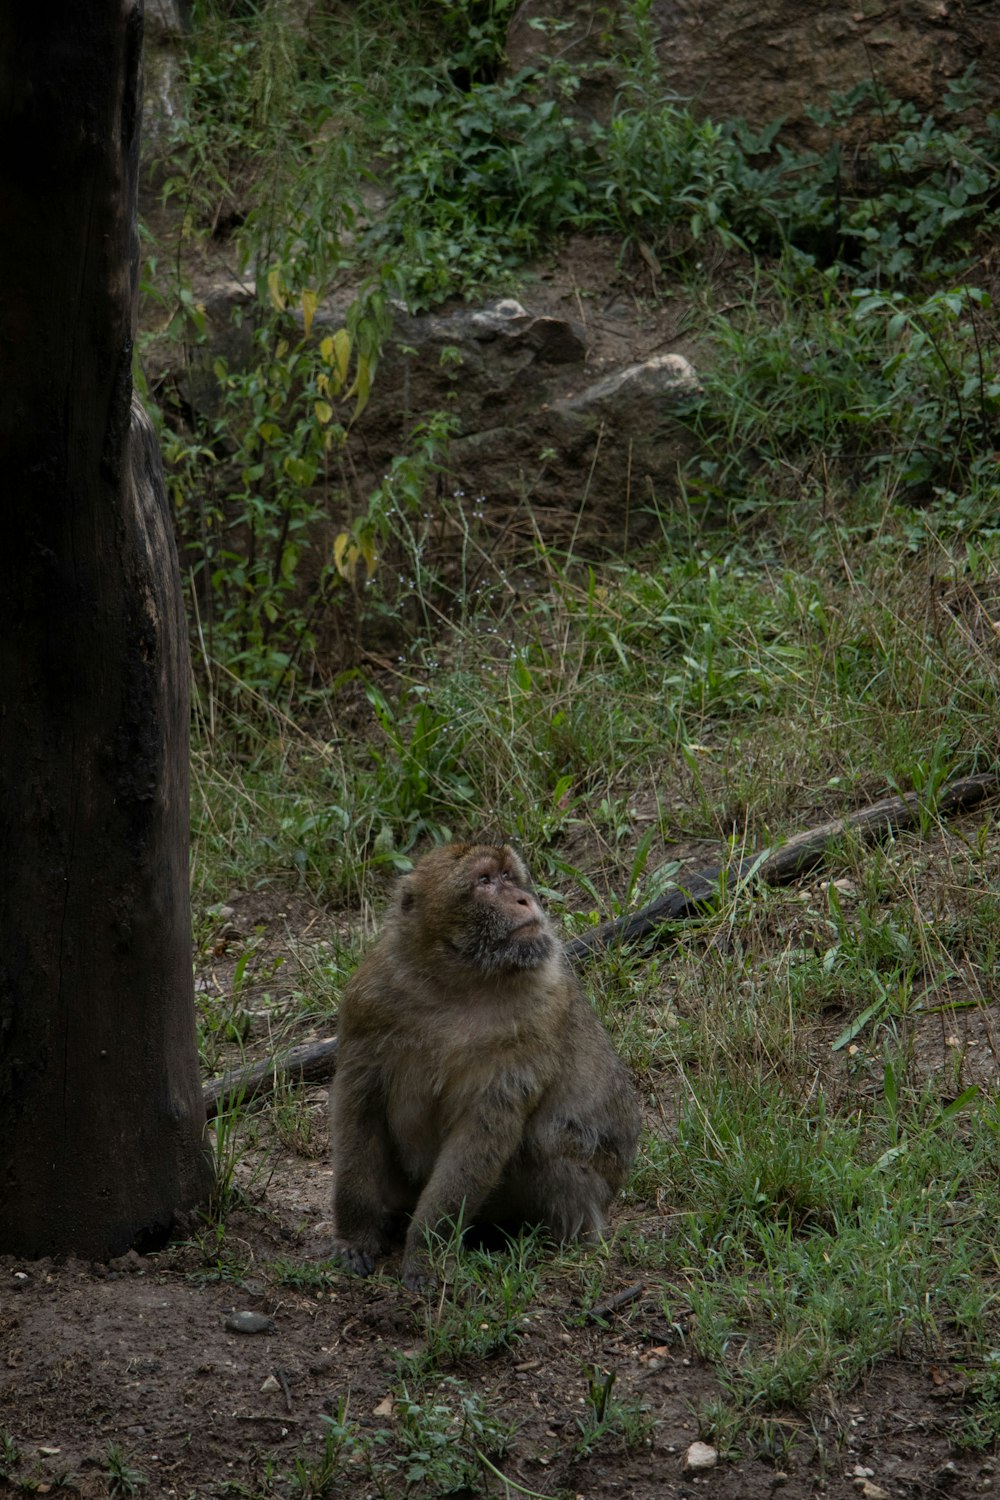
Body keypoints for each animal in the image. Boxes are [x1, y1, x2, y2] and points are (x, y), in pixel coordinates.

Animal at [328, 846, 641, 1290]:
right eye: (485, 881)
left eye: (510, 876)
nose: (525, 899)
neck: (459, 979)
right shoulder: (369, 1000)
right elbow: (358, 1107)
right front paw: (355, 1235)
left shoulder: (539, 1014)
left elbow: (483, 1129)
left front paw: (427, 1252)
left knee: (545, 1139)